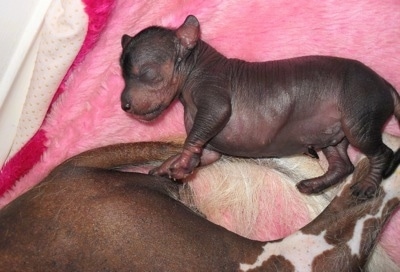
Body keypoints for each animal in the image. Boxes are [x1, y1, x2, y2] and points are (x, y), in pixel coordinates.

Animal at [119, 14, 400, 198]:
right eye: (122, 73)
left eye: (147, 74)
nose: (124, 105)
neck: (197, 64)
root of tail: (385, 84)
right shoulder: (210, 148)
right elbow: (207, 153)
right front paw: (169, 164)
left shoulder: (213, 94)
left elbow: (207, 123)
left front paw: (184, 162)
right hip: (332, 134)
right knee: (343, 164)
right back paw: (314, 185)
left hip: (360, 113)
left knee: (381, 152)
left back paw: (368, 186)